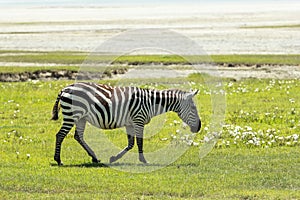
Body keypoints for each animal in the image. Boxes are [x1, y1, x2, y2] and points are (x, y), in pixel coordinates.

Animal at [51, 82, 202, 165]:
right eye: (194, 108)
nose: (199, 127)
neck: (151, 103)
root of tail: (65, 89)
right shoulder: (138, 120)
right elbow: (139, 142)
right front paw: (144, 160)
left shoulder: (130, 124)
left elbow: (131, 144)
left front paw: (114, 158)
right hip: (72, 115)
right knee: (60, 135)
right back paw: (58, 160)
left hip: (81, 118)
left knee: (78, 136)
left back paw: (94, 157)